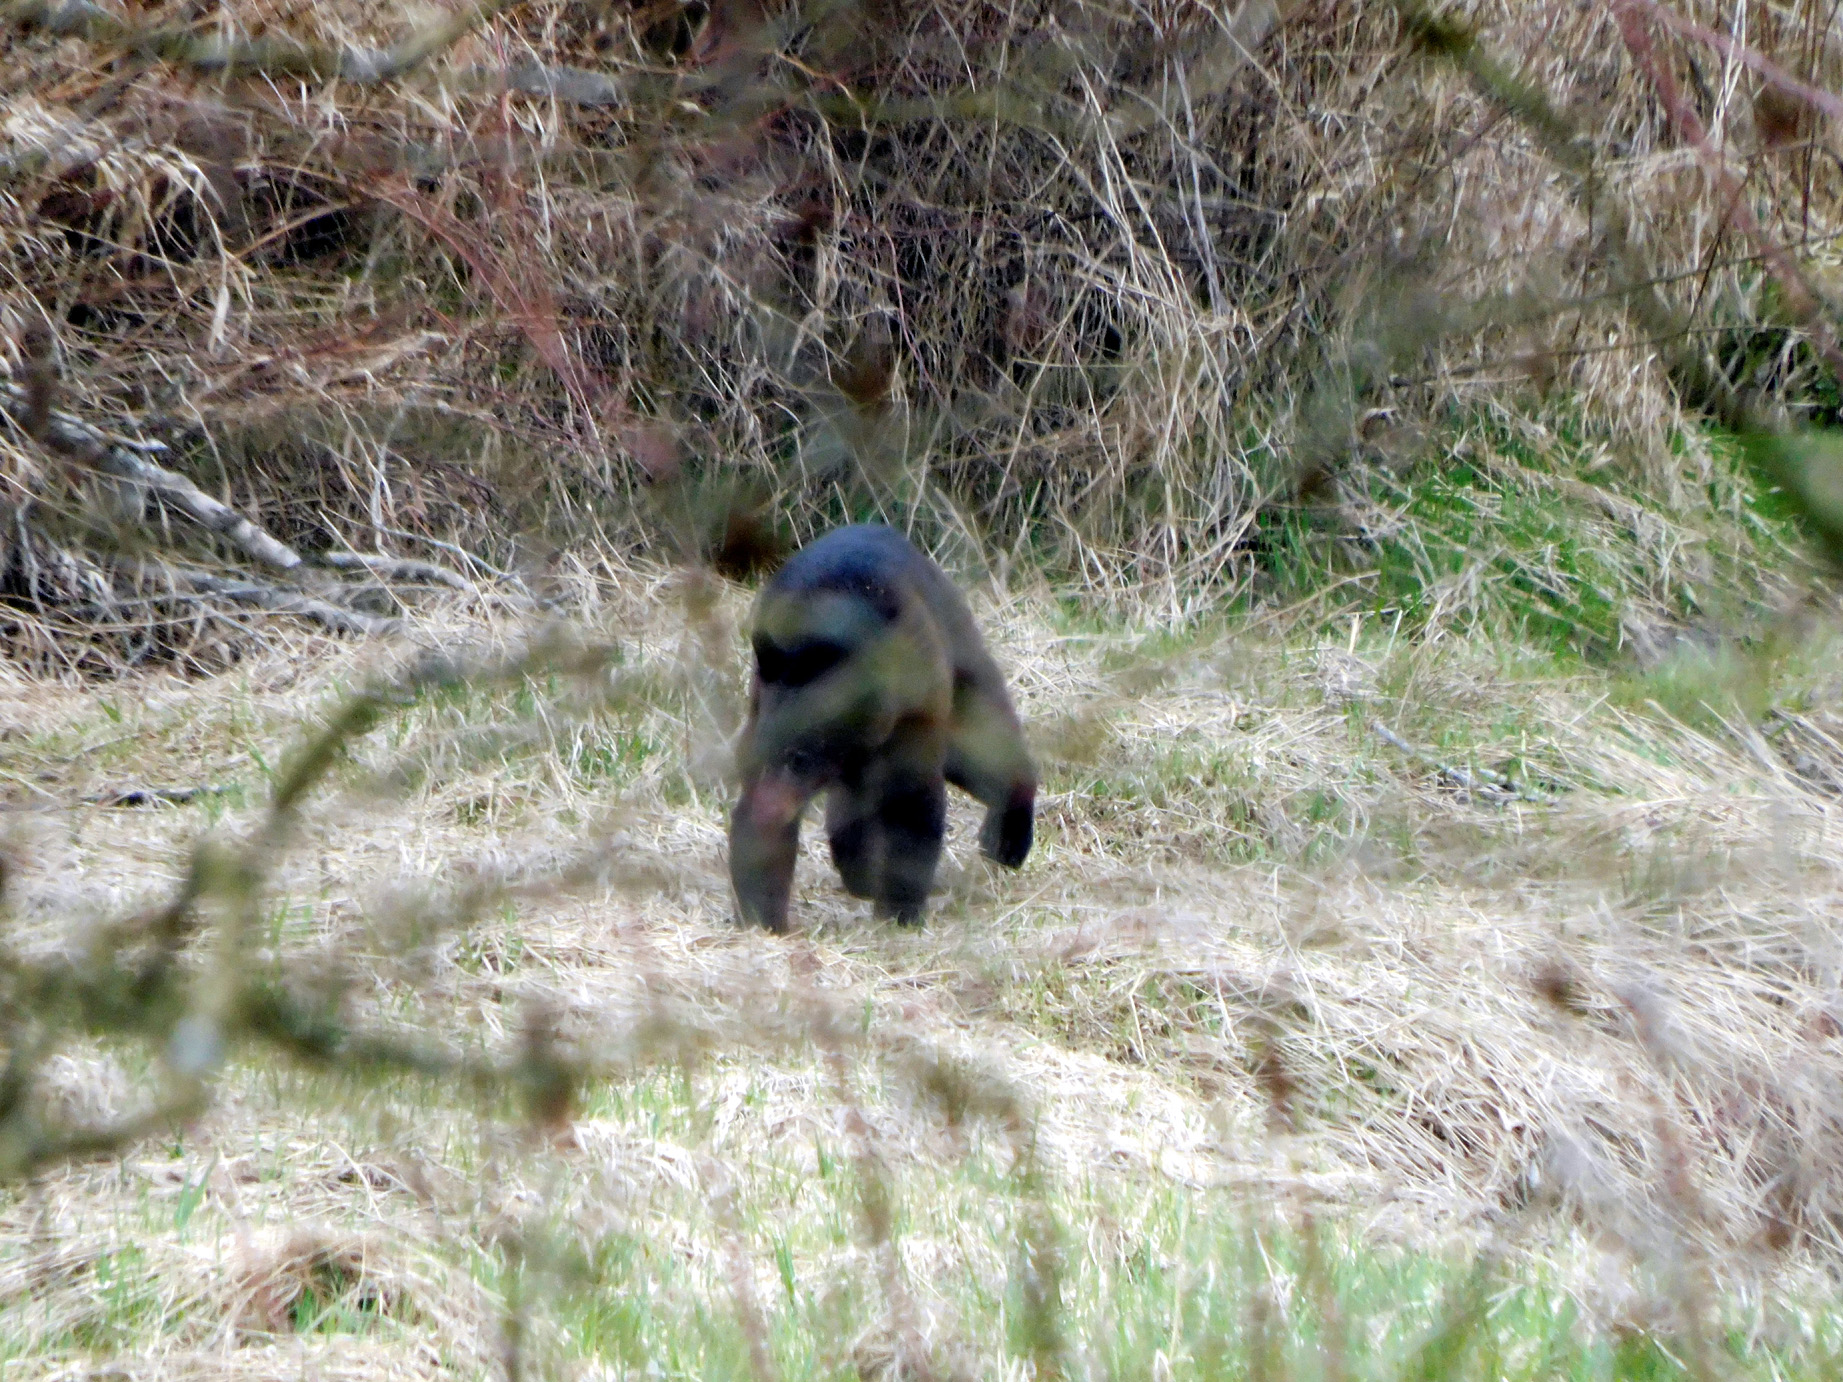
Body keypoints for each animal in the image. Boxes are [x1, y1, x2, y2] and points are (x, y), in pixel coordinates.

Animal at [728, 524, 1036, 932]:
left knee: (984, 745)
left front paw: (900, 913)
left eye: (799, 757)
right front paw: (762, 918)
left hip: (957, 657)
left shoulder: (913, 704)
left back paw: (1007, 842)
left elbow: (912, 807)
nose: (769, 810)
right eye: (759, 753)